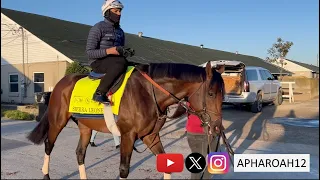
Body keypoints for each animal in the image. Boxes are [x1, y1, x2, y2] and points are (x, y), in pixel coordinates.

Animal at [26, 61, 225, 179]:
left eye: (222, 94)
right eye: (211, 93)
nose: (217, 128)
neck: (147, 93)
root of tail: (61, 83)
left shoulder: (151, 136)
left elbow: (166, 164)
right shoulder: (128, 136)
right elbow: (123, 170)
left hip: (85, 127)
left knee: (80, 153)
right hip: (57, 122)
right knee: (49, 145)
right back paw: (46, 175)